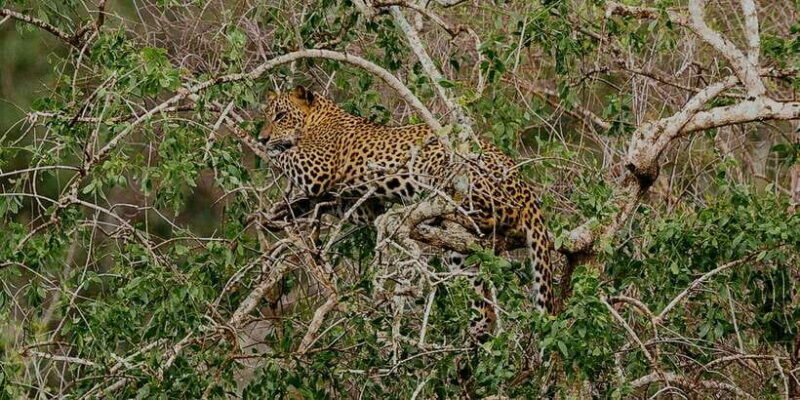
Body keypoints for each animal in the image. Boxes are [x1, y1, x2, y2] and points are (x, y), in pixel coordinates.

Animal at [258, 85, 554, 338]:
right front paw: (282, 211)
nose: (262, 138)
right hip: (459, 253)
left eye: (281, 116)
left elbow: (288, 156)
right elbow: (317, 200)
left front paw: (268, 149)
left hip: (443, 165)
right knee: (483, 303)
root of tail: (525, 189)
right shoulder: (362, 205)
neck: (318, 118)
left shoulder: (317, 168)